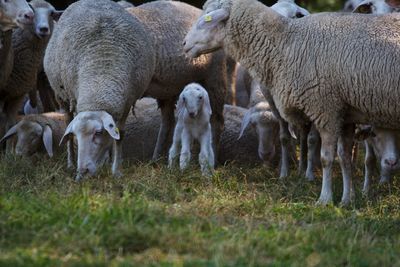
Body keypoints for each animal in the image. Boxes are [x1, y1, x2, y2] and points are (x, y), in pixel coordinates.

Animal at [126, 1, 230, 162]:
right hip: (168, 89)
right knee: (168, 122)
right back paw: (156, 159)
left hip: (215, 77)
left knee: (217, 122)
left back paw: (212, 158)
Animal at [184, 0, 400, 207]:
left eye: (206, 20)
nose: (184, 43)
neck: (288, 41)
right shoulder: (345, 113)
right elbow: (345, 158)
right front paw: (348, 200)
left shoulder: (326, 109)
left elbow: (327, 158)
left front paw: (325, 199)